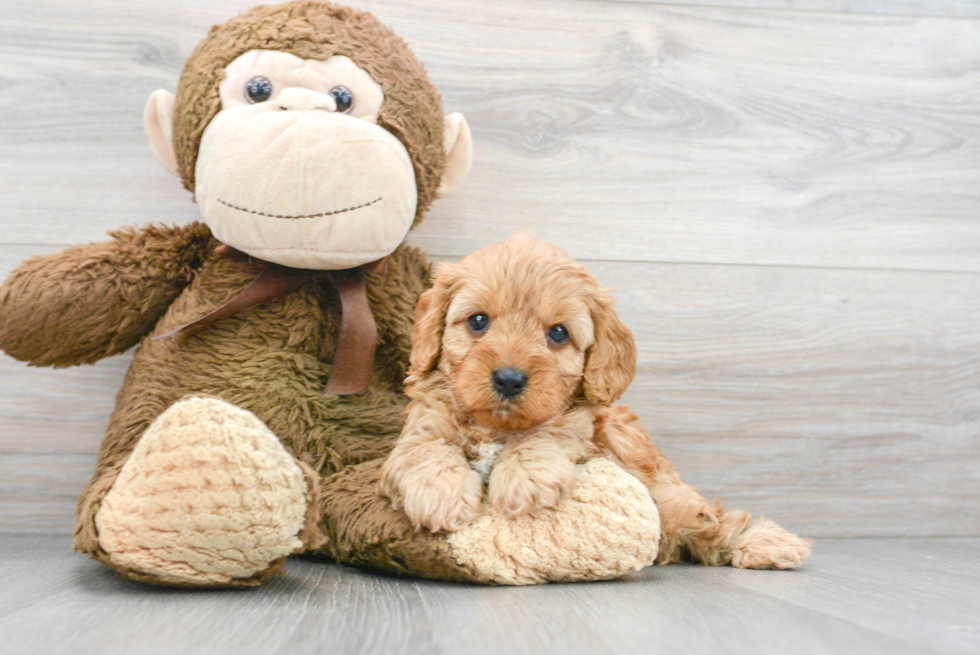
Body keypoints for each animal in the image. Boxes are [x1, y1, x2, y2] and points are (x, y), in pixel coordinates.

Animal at [382, 232, 812, 568]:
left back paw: (768, 544)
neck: (497, 428)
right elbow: (425, 450)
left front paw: (525, 479)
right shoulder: (423, 423)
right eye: (477, 321)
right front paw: (441, 494)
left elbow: (545, 435)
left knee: (713, 520)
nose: (509, 379)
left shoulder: (581, 427)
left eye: (558, 333)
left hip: (668, 497)